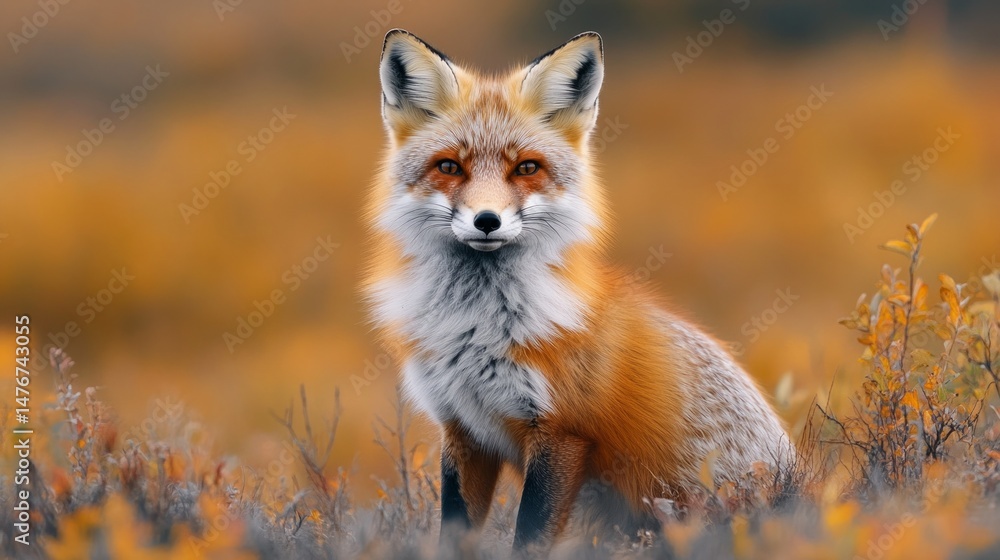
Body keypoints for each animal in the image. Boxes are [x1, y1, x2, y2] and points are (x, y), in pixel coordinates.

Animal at [362, 29, 794, 554]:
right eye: (449, 166)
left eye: (527, 168)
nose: (487, 220)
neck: (475, 328)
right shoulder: (463, 429)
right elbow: (454, 534)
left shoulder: (561, 432)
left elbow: (528, 538)